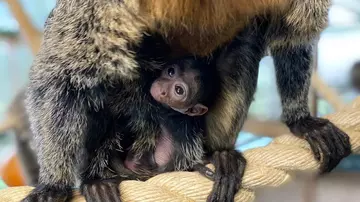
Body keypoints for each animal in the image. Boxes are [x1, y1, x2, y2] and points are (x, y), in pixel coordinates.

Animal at [21, 0, 350, 202]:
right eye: (169, 74)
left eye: (179, 87)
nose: (166, 89)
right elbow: (59, 77)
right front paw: (54, 185)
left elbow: (293, 34)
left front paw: (301, 120)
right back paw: (97, 179)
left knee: (243, 44)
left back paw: (221, 156)